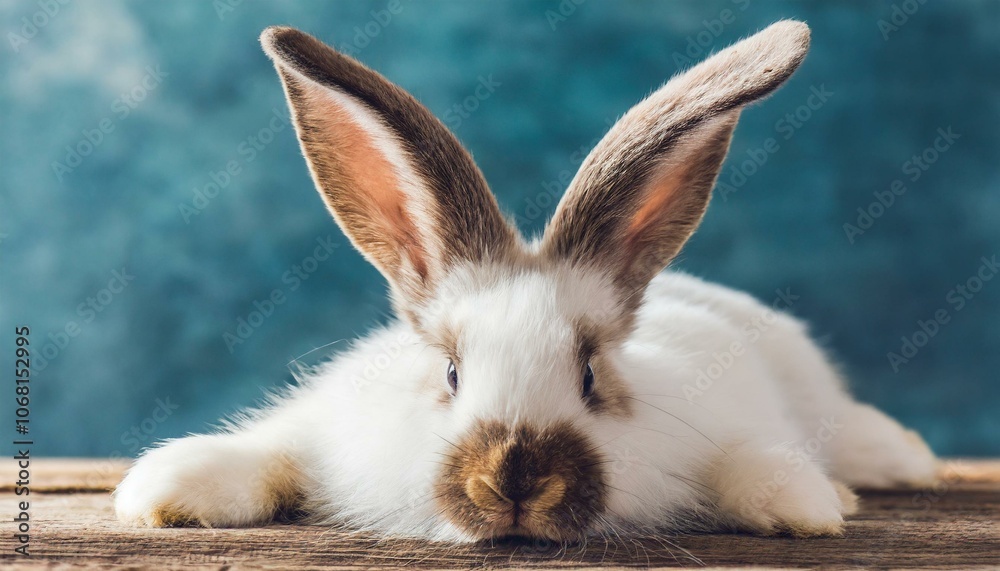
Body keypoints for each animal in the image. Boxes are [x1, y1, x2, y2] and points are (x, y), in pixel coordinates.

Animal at [114, 20, 939, 542]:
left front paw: (808, 503)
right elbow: (269, 453)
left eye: (590, 375)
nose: (514, 481)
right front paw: (164, 490)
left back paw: (907, 461)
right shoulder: (320, 425)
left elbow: (754, 464)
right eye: (450, 371)